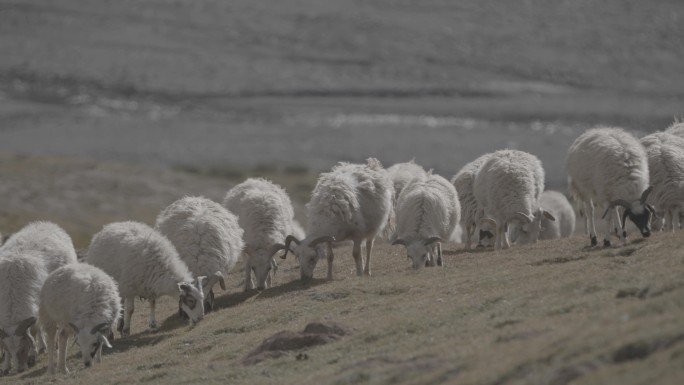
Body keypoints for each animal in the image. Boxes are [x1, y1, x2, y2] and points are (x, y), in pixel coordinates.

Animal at [0, 220, 78, 374]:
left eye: (23, 346)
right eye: (9, 350)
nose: (20, 369)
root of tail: (46, 223)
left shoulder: (34, 307)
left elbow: (34, 330)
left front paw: (33, 355)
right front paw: (6, 366)